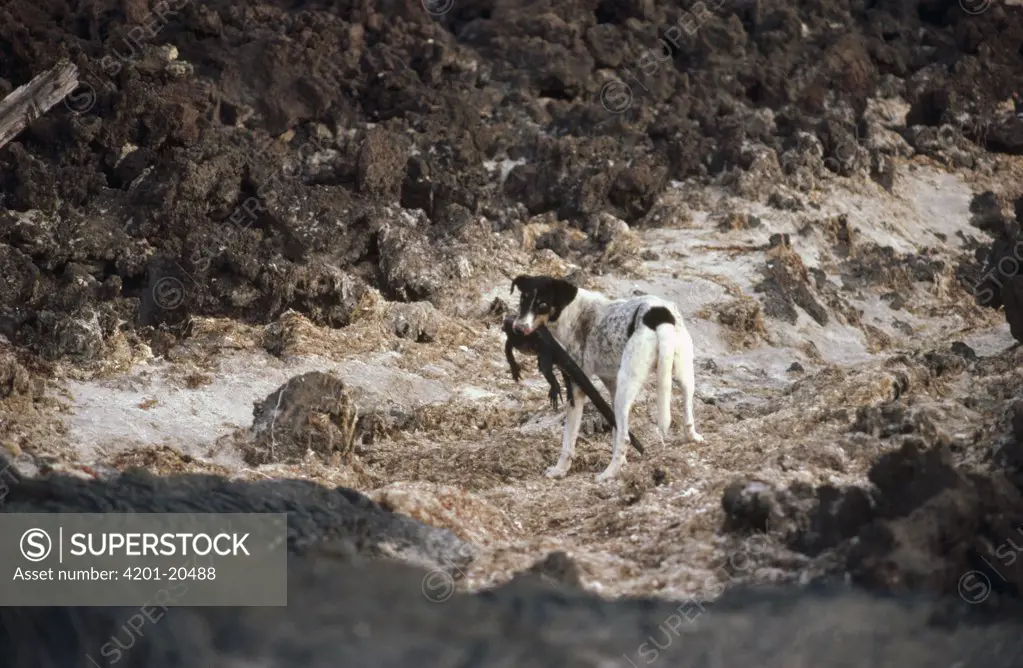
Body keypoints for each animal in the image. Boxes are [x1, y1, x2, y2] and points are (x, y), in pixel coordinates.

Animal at [507, 274, 699, 482]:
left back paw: (608, 474)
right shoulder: (611, 383)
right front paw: (623, 462)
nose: (517, 329)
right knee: (688, 411)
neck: (571, 313)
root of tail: (658, 315)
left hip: (626, 386)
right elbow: (614, 425)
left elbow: (569, 439)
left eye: (542, 304)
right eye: (523, 299)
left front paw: (560, 469)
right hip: (683, 375)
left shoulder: (577, 388)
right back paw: (693, 437)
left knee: (625, 437)